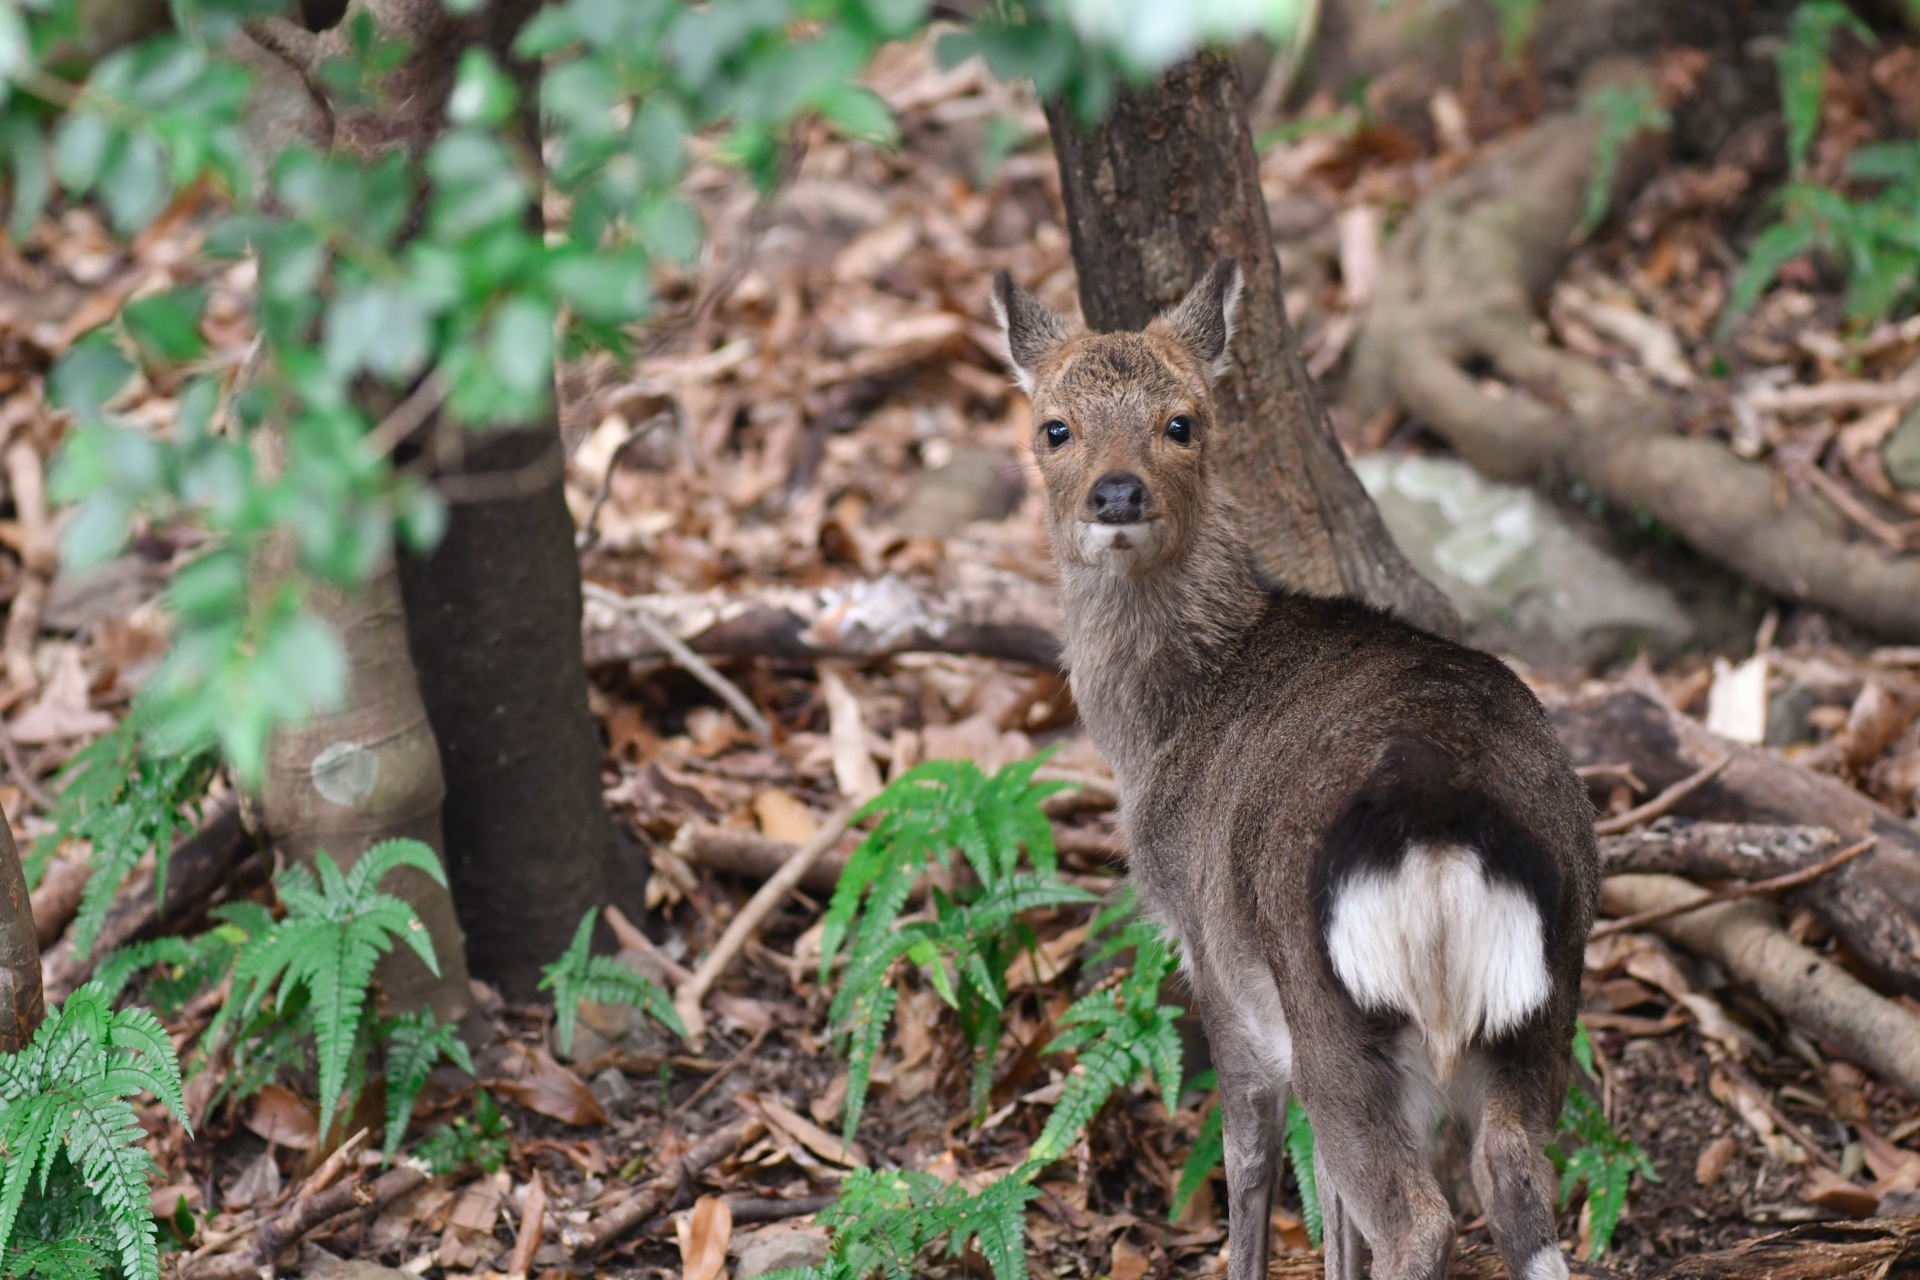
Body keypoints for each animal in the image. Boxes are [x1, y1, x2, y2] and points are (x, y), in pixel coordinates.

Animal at [998, 260, 1597, 1280]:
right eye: (1055, 427)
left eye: (1183, 421)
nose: (1116, 495)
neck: (1161, 728)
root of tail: (1442, 822)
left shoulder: (1211, 953)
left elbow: (1251, 1155)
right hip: (1547, 993)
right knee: (1515, 1180)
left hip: (1329, 999)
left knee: (1415, 1215)